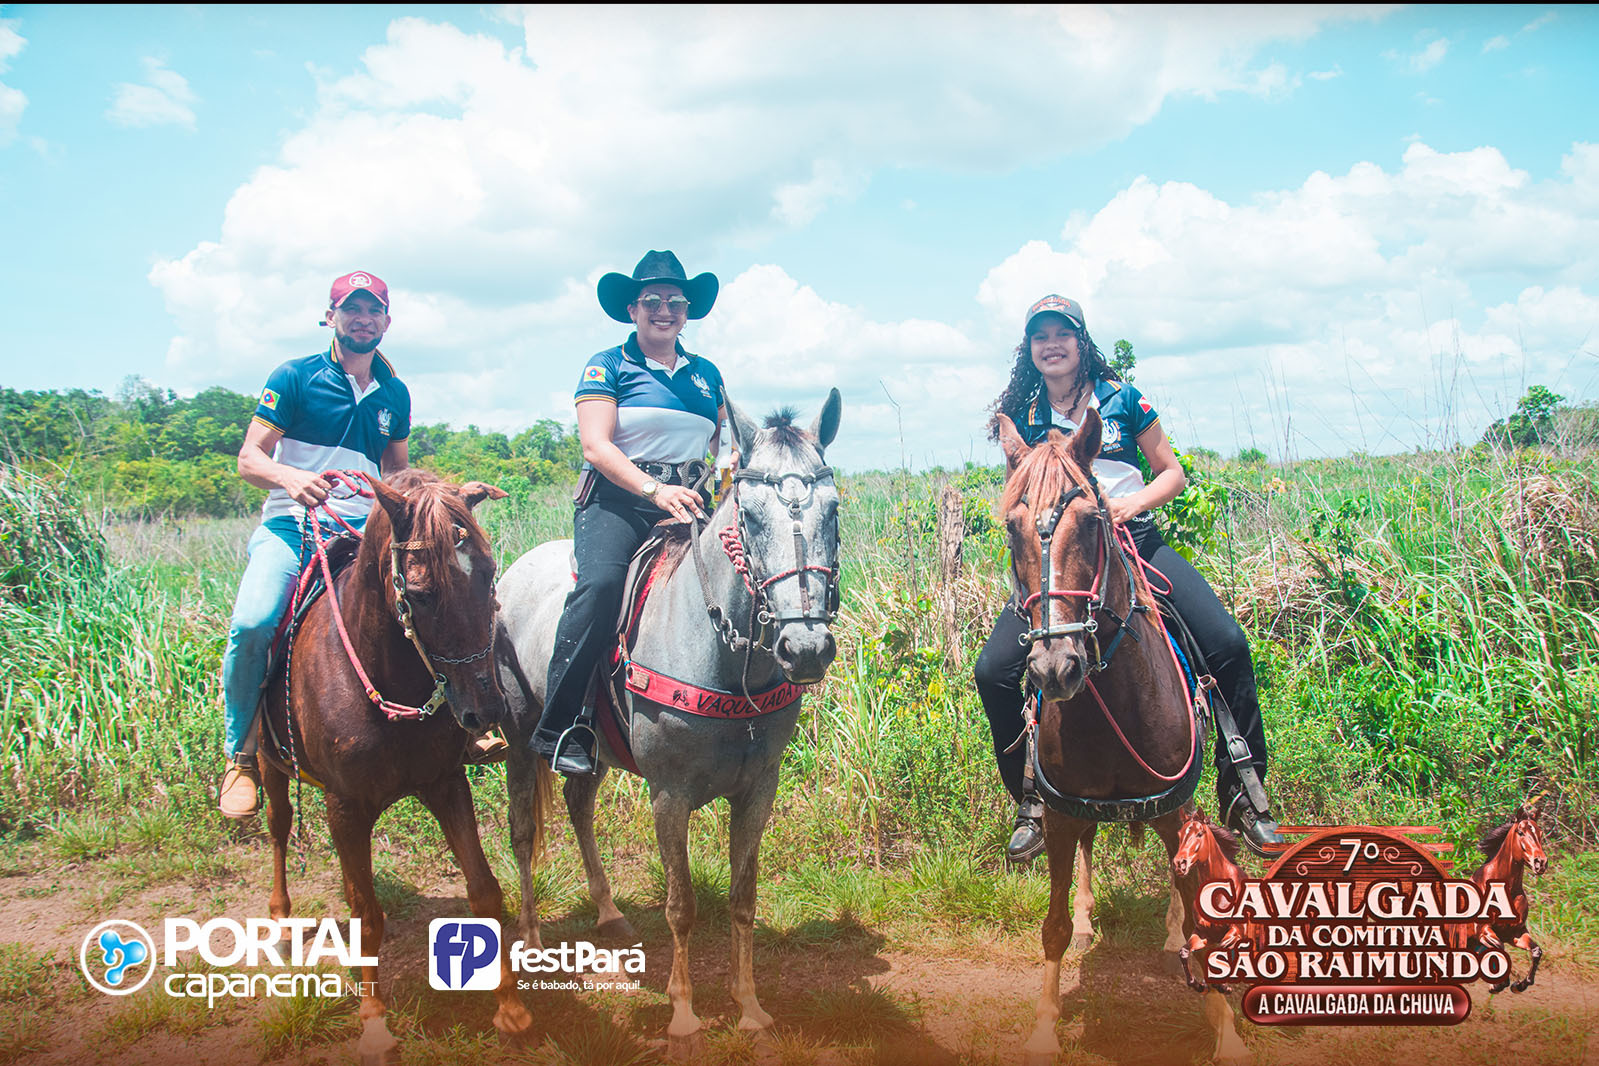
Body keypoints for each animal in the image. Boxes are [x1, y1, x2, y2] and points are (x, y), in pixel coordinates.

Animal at [257, 469, 532, 1065]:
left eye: (489, 575)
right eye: (422, 594)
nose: (486, 711)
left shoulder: (446, 784)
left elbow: (483, 889)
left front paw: (511, 1008)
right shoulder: (344, 807)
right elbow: (366, 914)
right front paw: (374, 1023)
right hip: (270, 765)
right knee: (278, 828)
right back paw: (280, 918)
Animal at [497, 390, 842, 1056]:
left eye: (833, 511)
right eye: (749, 518)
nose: (806, 648)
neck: (721, 656)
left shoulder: (759, 789)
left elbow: (742, 897)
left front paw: (750, 1006)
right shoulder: (669, 793)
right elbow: (680, 905)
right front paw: (683, 1015)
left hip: (593, 751)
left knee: (579, 804)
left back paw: (607, 911)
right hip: (520, 741)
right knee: (524, 832)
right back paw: (529, 940)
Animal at [995, 412, 1250, 1066]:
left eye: (1091, 521)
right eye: (1010, 526)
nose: (1054, 667)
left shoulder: (1173, 805)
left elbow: (1198, 918)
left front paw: (1227, 1034)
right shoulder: (1063, 814)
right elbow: (1054, 926)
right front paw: (1044, 1028)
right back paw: (1089, 921)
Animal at [1471, 801, 1548, 993]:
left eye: (1540, 833)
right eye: (1520, 832)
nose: (1541, 863)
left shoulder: (1515, 933)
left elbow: (1536, 951)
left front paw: (1519, 985)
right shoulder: (1483, 930)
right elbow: (1500, 948)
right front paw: (1497, 984)